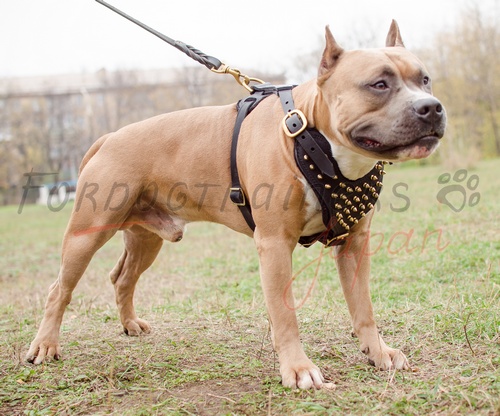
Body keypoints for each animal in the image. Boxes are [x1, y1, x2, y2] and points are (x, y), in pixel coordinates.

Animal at [25, 21, 446, 388]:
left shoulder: (354, 244)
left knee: (123, 278)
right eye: (378, 84)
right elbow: (286, 314)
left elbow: (364, 308)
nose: (432, 107)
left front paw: (378, 352)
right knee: (59, 289)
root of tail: (109, 136)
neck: (311, 135)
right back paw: (45, 346)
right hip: (86, 234)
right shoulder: (274, 245)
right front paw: (298, 369)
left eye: (424, 79)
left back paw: (129, 325)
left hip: (148, 238)